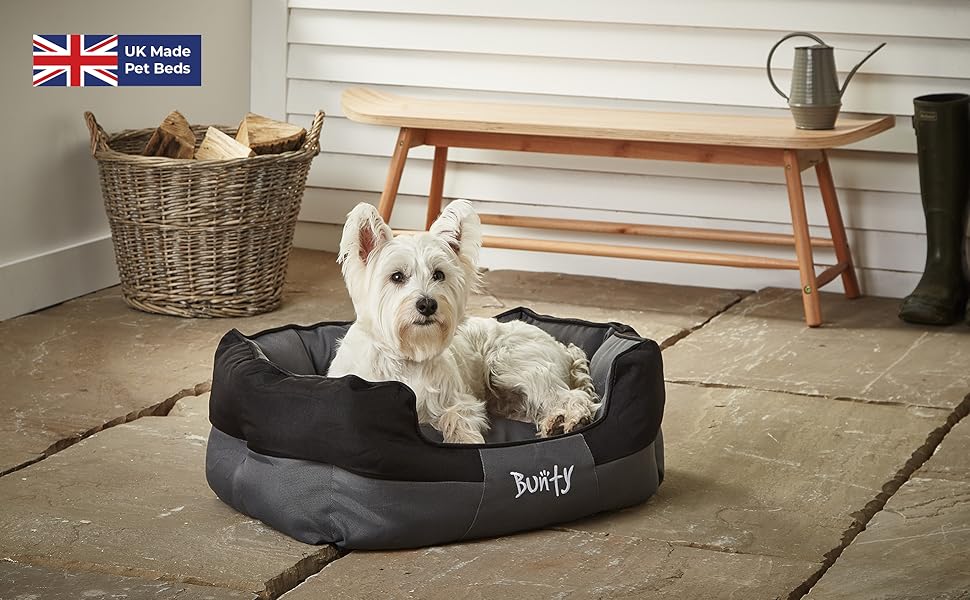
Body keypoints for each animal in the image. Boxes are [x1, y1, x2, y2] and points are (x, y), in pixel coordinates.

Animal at [327, 200, 600, 444]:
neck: (407, 356)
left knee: (571, 396)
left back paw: (568, 419)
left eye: (439, 275)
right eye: (396, 276)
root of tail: (563, 348)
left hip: (512, 364)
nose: (427, 305)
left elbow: (458, 420)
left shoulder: (461, 403)